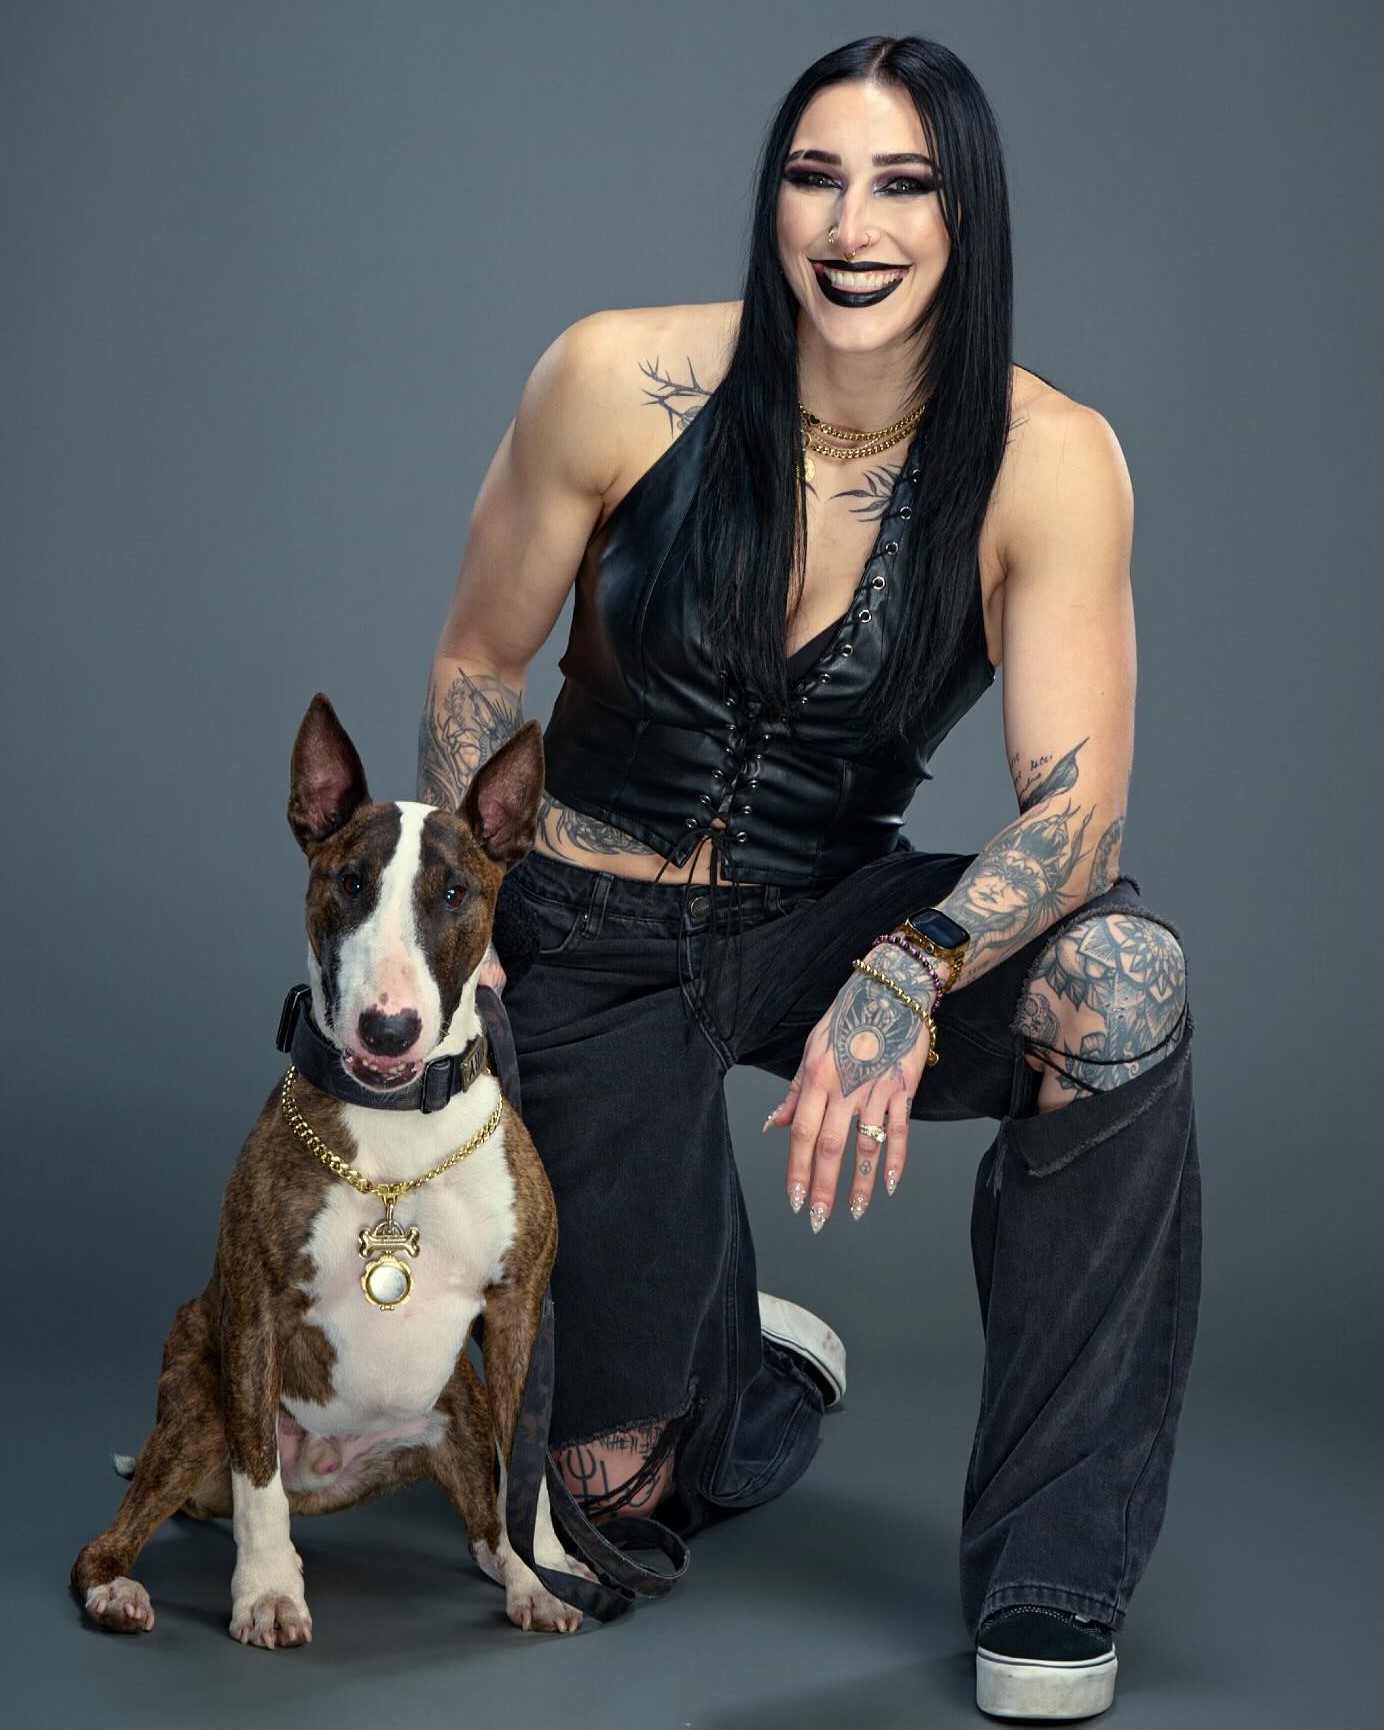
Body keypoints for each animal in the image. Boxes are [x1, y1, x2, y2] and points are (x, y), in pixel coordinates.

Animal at [72, 695, 594, 1646]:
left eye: (454, 892)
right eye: (349, 883)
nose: (388, 1029)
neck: (400, 1138)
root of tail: (329, 1468)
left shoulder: (517, 1313)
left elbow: (529, 1461)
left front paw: (542, 1573)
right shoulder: (255, 1312)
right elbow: (260, 1488)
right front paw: (269, 1592)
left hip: (454, 1414)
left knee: (485, 1508)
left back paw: (510, 1565)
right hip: (197, 1398)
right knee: (126, 1534)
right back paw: (119, 1591)